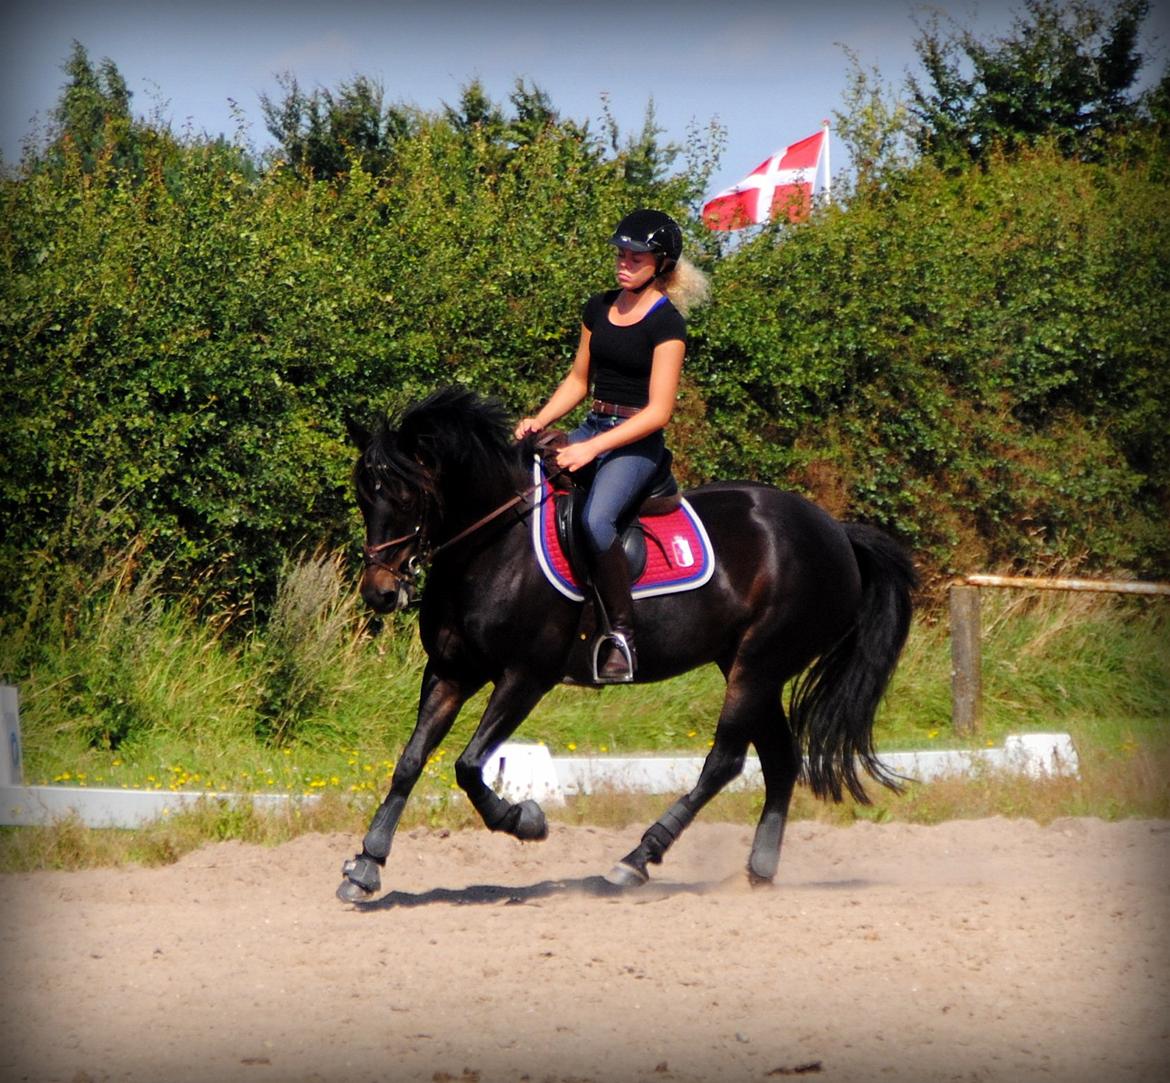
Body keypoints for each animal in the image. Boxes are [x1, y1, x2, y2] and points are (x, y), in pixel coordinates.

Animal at [338, 386, 918, 902]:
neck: (492, 546)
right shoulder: (450, 671)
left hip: (759, 664)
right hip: (748, 667)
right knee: (779, 760)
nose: (379, 592)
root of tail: (836, 532)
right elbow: (411, 761)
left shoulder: (526, 677)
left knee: (725, 761)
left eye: (408, 496)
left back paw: (636, 861)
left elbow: (467, 764)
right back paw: (758, 869)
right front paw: (366, 865)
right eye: (365, 496)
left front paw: (526, 819)